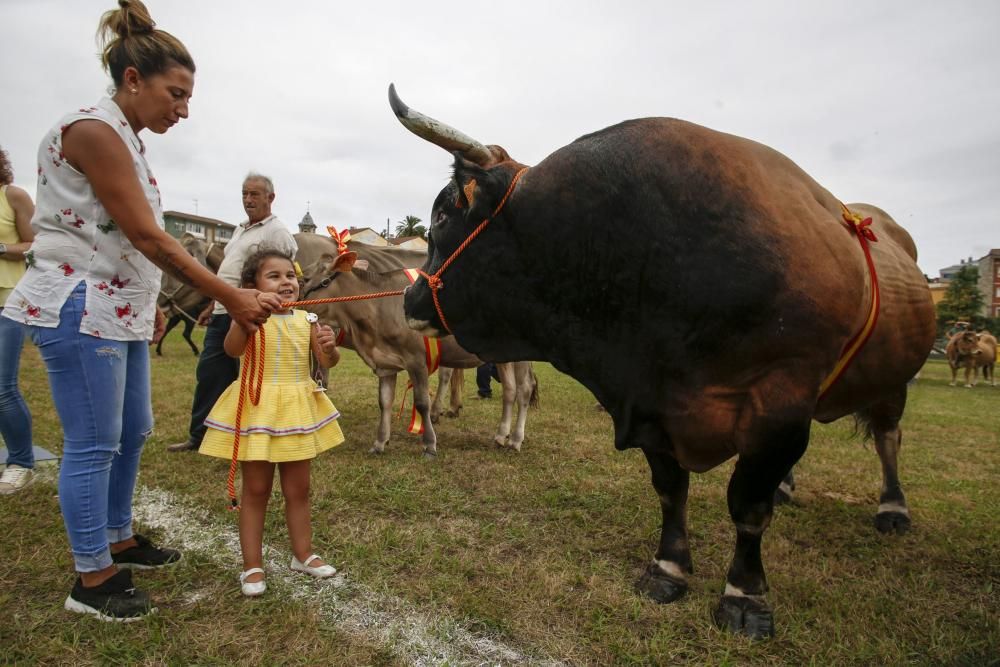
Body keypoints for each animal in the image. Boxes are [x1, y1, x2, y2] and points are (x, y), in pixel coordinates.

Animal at [292, 232, 536, 456]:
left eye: (303, 279)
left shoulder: (416, 360)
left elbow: (421, 402)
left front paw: (429, 444)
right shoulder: (385, 363)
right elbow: (384, 401)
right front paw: (379, 443)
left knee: (524, 389)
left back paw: (515, 439)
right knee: (509, 390)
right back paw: (500, 436)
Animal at [388, 83, 936, 636]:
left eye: (442, 216)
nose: (409, 299)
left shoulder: (780, 396)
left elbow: (748, 504)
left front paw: (744, 594)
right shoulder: (653, 403)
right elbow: (671, 489)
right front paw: (668, 568)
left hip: (890, 381)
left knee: (888, 438)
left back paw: (893, 507)